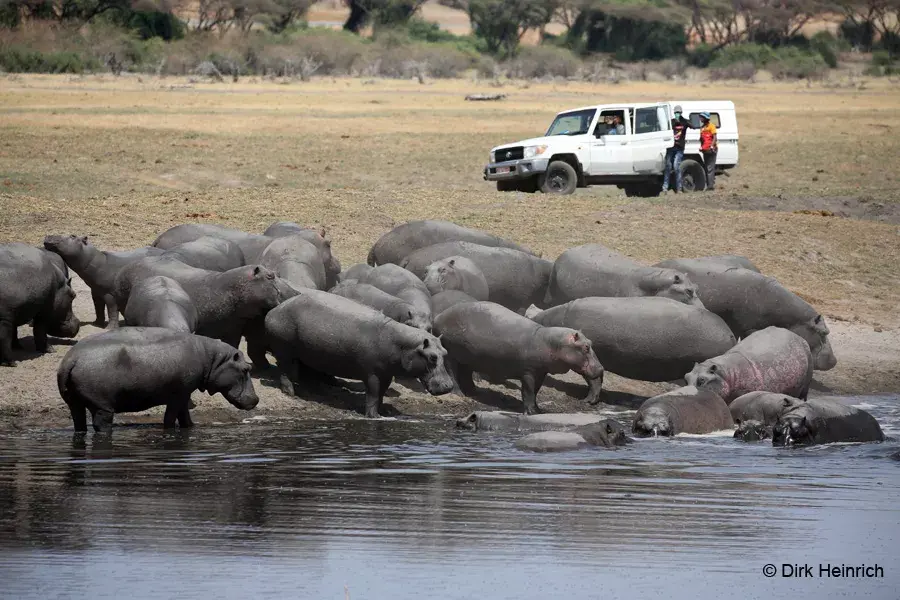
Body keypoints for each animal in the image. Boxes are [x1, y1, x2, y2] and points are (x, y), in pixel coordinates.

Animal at [57, 327, 258, 432]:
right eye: (246, 369)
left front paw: (191, 427)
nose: (256, 399)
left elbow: (184, 416)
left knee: (79, 422)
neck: (214, 360)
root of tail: (70, 359)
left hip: (74, 403)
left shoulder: (184, 394)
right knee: (101, 424)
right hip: (102, 407)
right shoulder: (178, 395)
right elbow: (170, 418)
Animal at [264, 290, 454, 418]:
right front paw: (373, 416)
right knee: (285, 370)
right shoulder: (372, 374)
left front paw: (381, 411)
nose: (449, 386)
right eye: (432, 356)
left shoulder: (386, 374)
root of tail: (274, 310)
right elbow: (373, 394)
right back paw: (290, 393)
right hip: (284, 350)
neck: (402, 345)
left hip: (304, 352)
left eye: (445, 352)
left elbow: (381, 394)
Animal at [434, 301, 604, 414]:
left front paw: (538, 410)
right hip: (451, 353)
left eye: (591, 342)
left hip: (468, 356)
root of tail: (438, 317)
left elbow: (535, 391)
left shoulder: (540, 372)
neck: (552, 343)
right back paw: (459, 394)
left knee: (466, 373)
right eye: (586, 347)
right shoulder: (528, 372)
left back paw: (475, 392)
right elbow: (528, 391)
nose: (602, 368)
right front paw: (531, 412)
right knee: (452, 372)